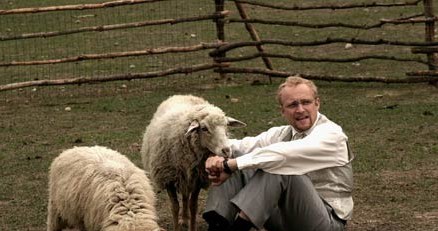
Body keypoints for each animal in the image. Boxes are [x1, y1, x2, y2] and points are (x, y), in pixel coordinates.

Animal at [141, 94, 246, 231]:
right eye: (204, 128)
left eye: (226, 126)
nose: (227, 150)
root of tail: (183, 95)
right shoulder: (168, 178)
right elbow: (175, 207)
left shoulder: (198, 179)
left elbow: (193, 206)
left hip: (187, 178)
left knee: (186, 197)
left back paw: (185, 219)